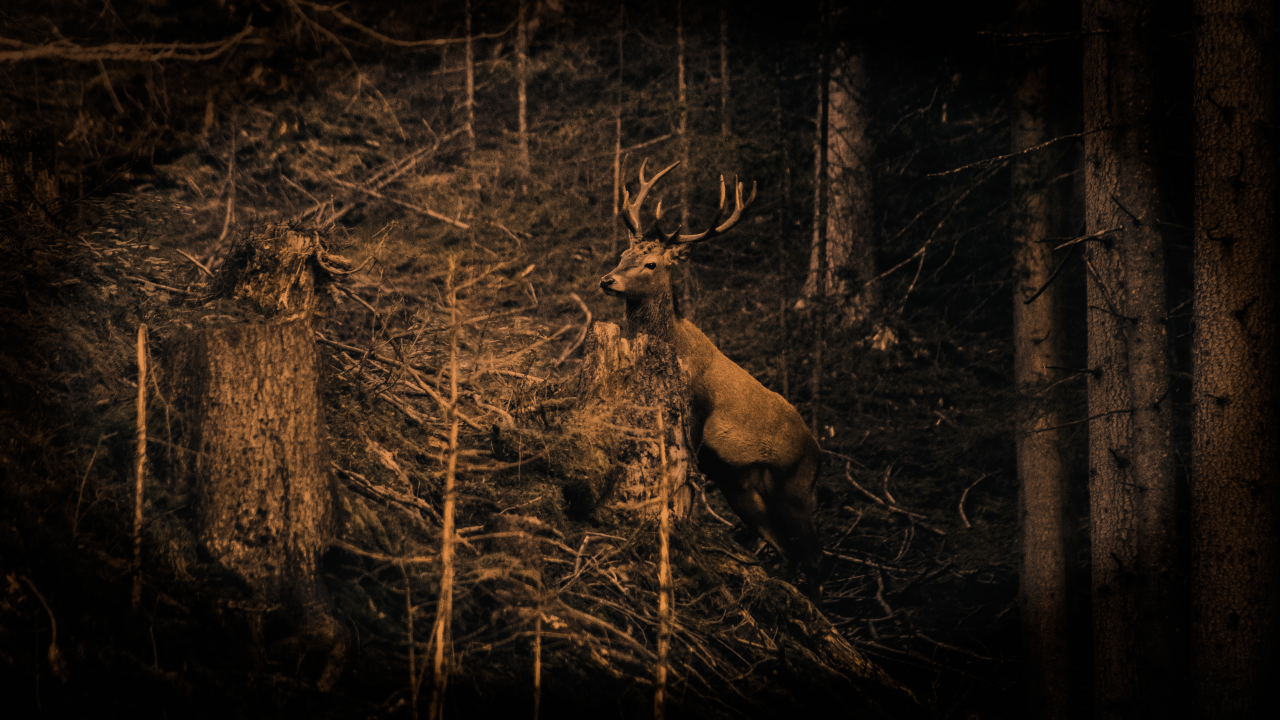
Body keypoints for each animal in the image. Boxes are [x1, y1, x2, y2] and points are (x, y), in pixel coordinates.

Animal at [600, 159, 825, 591]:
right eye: (623, 253)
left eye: (652, 264)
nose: (607, 280)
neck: (670, 342)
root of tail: (818, 452)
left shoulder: (695, 411)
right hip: (744, 489)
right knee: (787, 551)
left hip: (795, 487)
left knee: (816, 558)